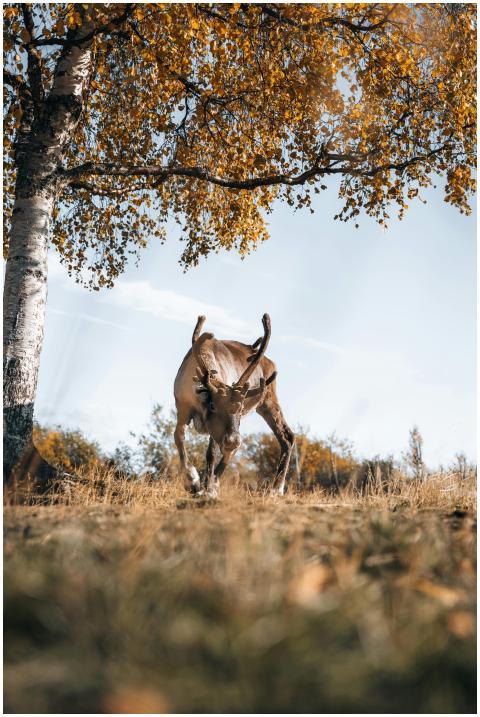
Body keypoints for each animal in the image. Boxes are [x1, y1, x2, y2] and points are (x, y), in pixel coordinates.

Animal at [173, 313, 295, 498]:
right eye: (213, 406)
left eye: (240, 409)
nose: (233, 441)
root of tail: (270, 362)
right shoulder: (182, 408)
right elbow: (179, 436)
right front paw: (193, 481)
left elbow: (211, 453)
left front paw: (207, 488)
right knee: (285, 437)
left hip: (267, 401)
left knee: (286, 436)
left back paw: (275, 489)